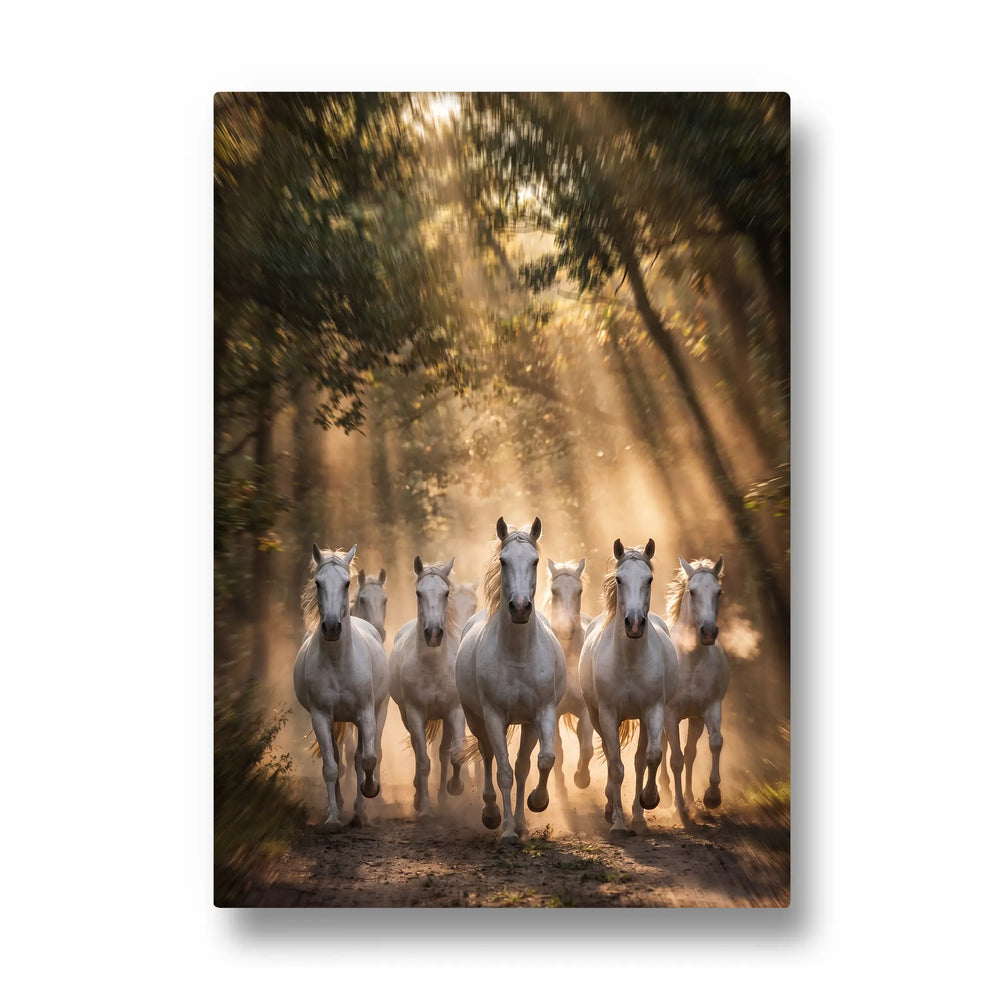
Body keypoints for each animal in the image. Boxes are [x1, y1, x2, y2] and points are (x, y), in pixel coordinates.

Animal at [293, 544, 390, 832]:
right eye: (318, 583)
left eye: (347, 583)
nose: (332, 627)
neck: (338, 661)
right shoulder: (321, 717)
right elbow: (331, 766)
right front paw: (333, 818)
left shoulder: (365, 714)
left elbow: (366, 758)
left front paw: (369, 792)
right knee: (336, 757)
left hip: (377, 712)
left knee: (363, 755)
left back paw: (361, 808)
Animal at [388, 555, 467, 818]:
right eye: (418, 593)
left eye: (446, 592)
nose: (433, 633)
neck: (433, 666)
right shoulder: (414, 713)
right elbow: (423, 760)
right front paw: (424, 808)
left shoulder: (455, 711)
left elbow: (455, 754)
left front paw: (455, 788)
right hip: (407, 715)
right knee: (417, 751)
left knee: (443, 753)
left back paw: (443, 798)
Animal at [455, 517, 567, 845]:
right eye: (503, 561)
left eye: (535, 561)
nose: (519, 607)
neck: (518, 655)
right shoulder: (493, 716)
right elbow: (502, 771)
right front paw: (505, 831)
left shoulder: (542, 712)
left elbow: (542, 761)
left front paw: (536, 804)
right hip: (477, 719)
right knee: (489, 756)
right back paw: (492, 814)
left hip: (525, 724)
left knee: (522, 766)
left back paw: (522, 823)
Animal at [579, 538, 679, 836]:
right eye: (619, 579)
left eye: (649, 579)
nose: (634, 624)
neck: (629, 661)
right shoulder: (608, 714)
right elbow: (616, 766)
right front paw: (618, 824)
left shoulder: (653, 709)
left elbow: (651, 756)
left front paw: (649, 800)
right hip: (597, 717)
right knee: (611, 755)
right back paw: (611, 810)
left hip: (644, 719)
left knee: (639, 760)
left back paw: (638, 816)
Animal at [660, 556, 730, 813]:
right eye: (692, 591)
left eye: (719, 592)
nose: (708, 632)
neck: (690, 660)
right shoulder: (670, 714)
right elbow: (675, 758)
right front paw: (678, 804)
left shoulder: (708, 710)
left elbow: (715, 743)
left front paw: (712, 796)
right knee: (664, 748)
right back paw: (665, 792)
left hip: (693, 719)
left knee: (690, 752)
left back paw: (690, 796)